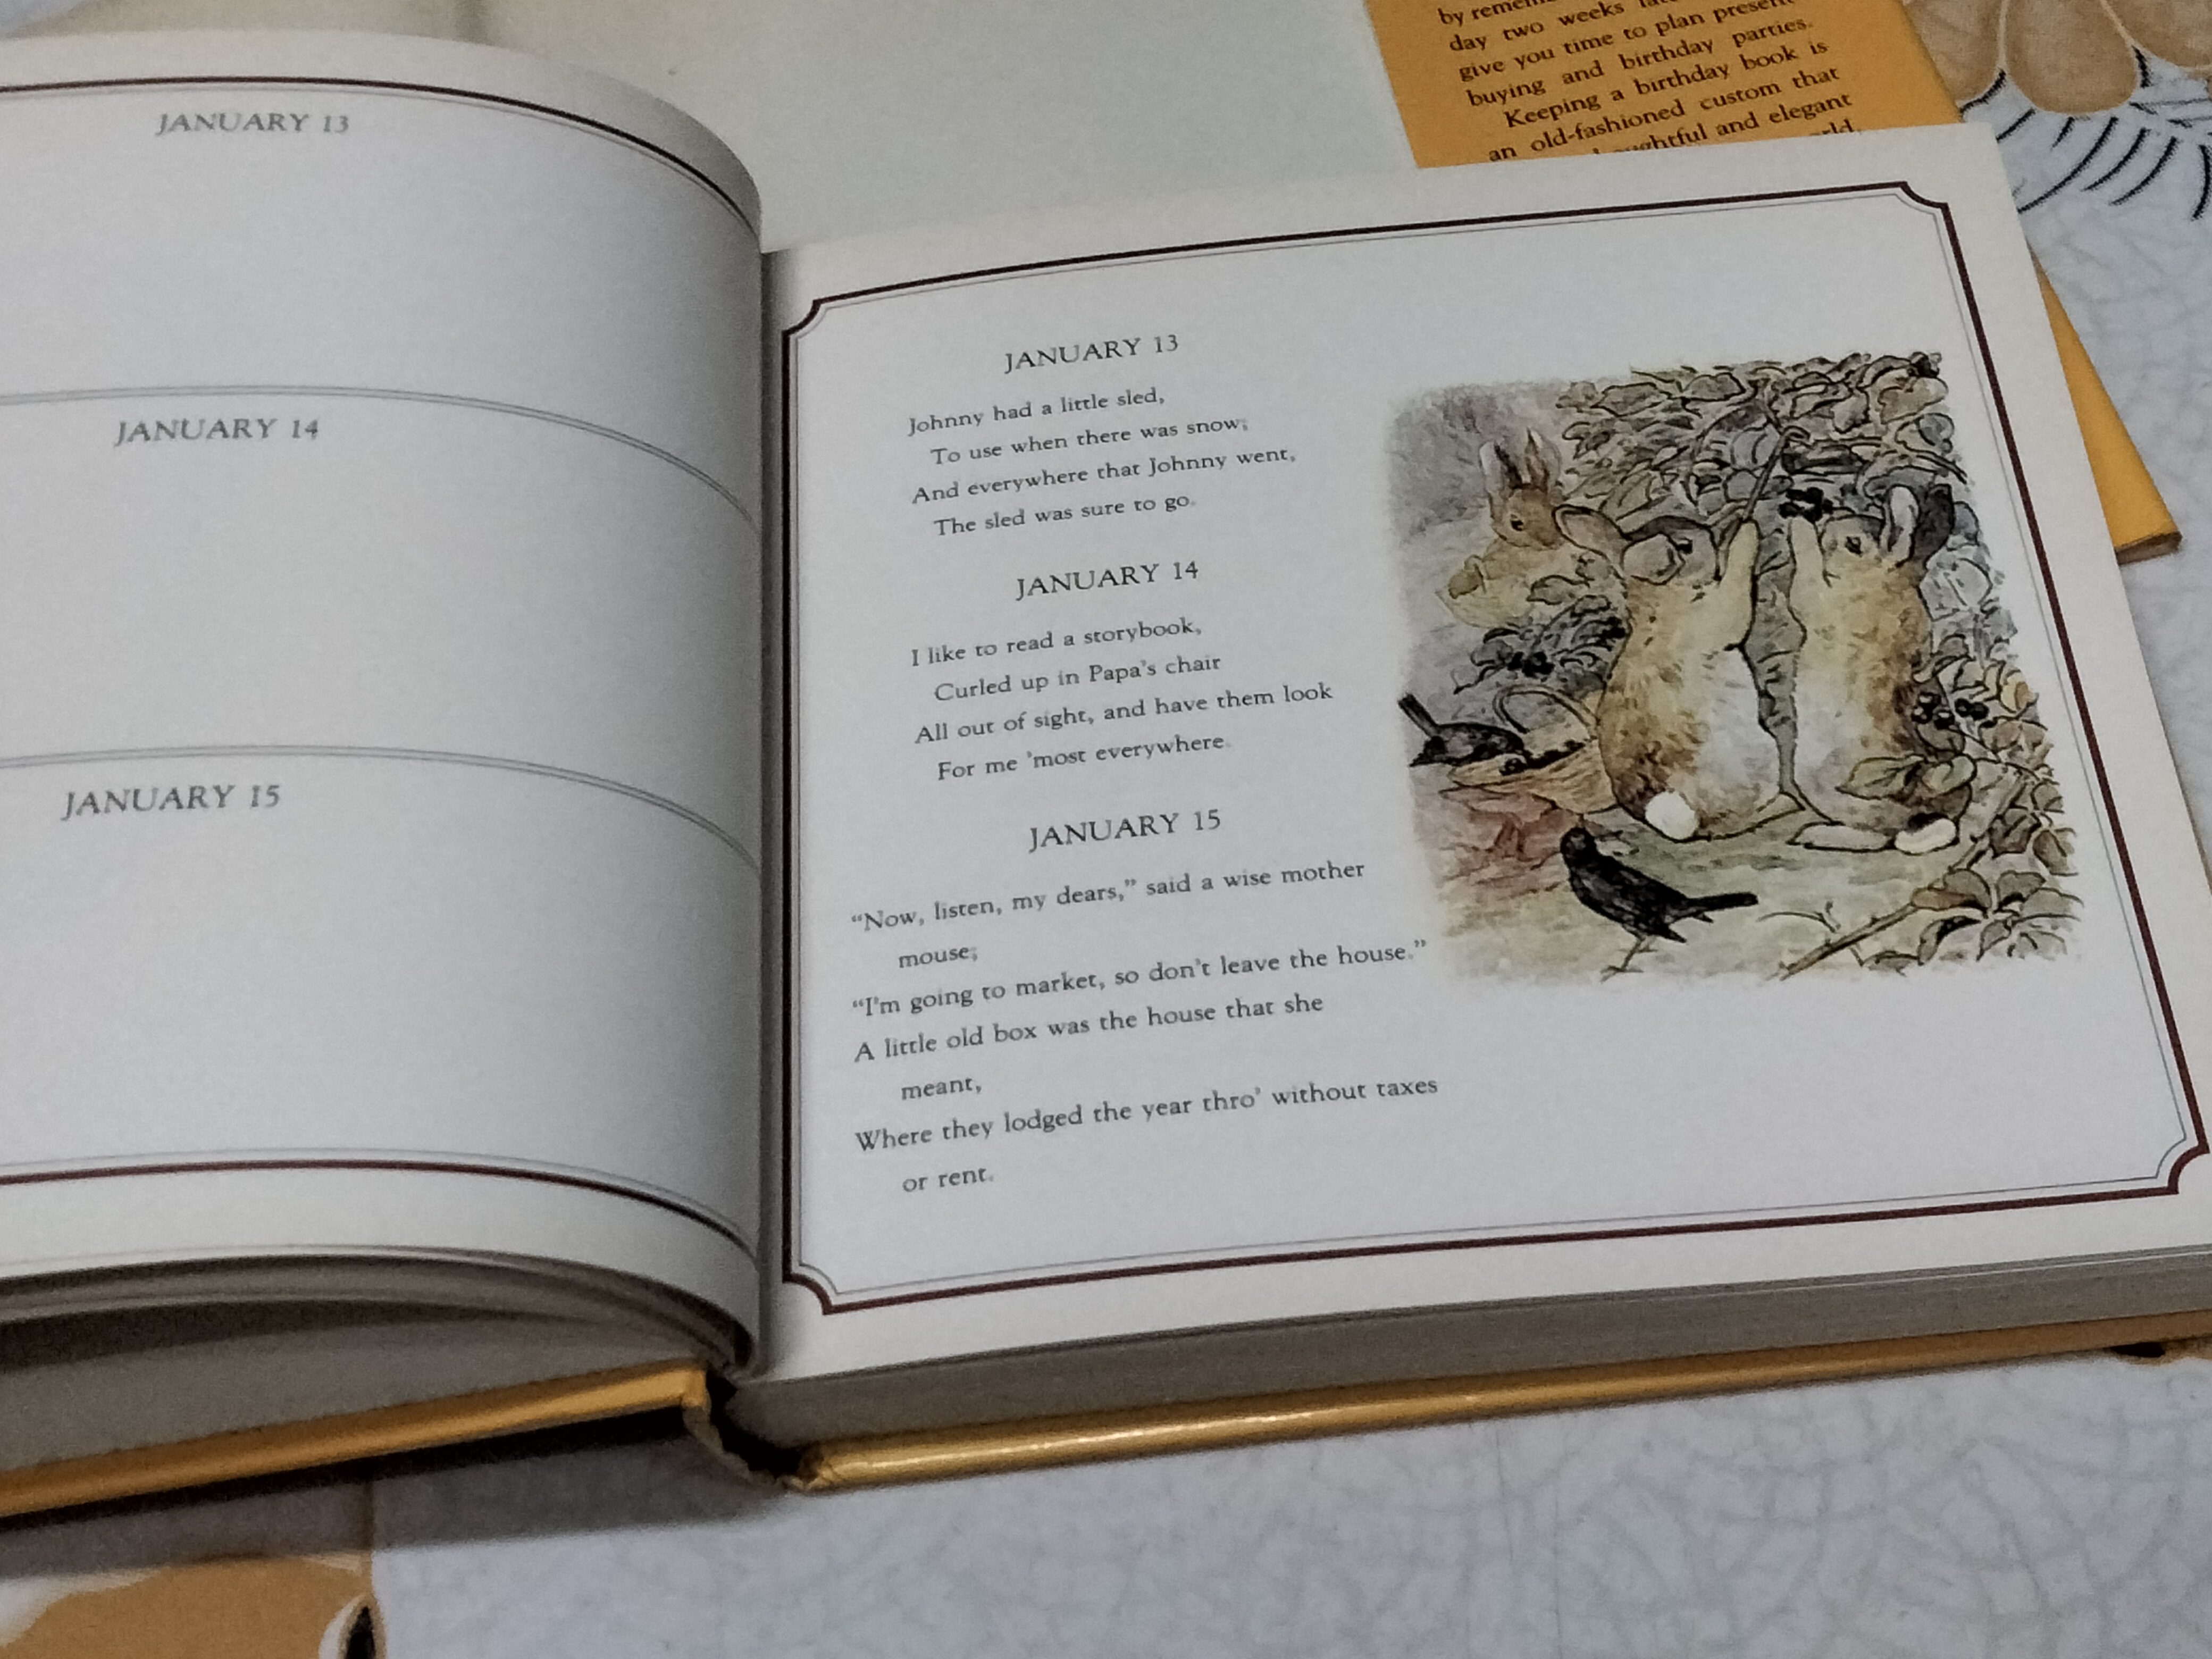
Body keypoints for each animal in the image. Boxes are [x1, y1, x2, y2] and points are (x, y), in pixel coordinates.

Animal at [1785, 483, 1963, 855]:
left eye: (1854, 545)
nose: (1825, 525)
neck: (1880, 582)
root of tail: (1919, 816)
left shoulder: (1817, 599)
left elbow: (1806, 574)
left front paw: (1800, 528)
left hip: (1827, 785)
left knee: (1878, 836)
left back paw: (1814, 836)